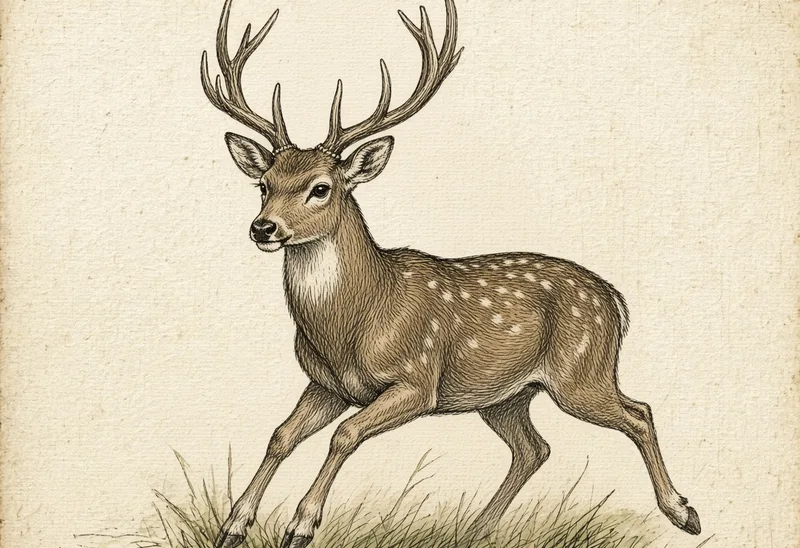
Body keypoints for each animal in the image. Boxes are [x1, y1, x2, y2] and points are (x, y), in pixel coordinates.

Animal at [200, 1, 701, 547]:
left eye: (321, 188)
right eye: (264, 184)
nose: (263, 227)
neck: (353, 323)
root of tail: (616, 301)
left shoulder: (418, 381)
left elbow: (345, 434)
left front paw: (302, 524)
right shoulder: (328, 384)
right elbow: (281, 435)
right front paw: (234, 524)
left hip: (581, 374)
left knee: (638, 413)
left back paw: (684, 512)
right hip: (506, 396)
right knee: (534, 448)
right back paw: (478, 528)